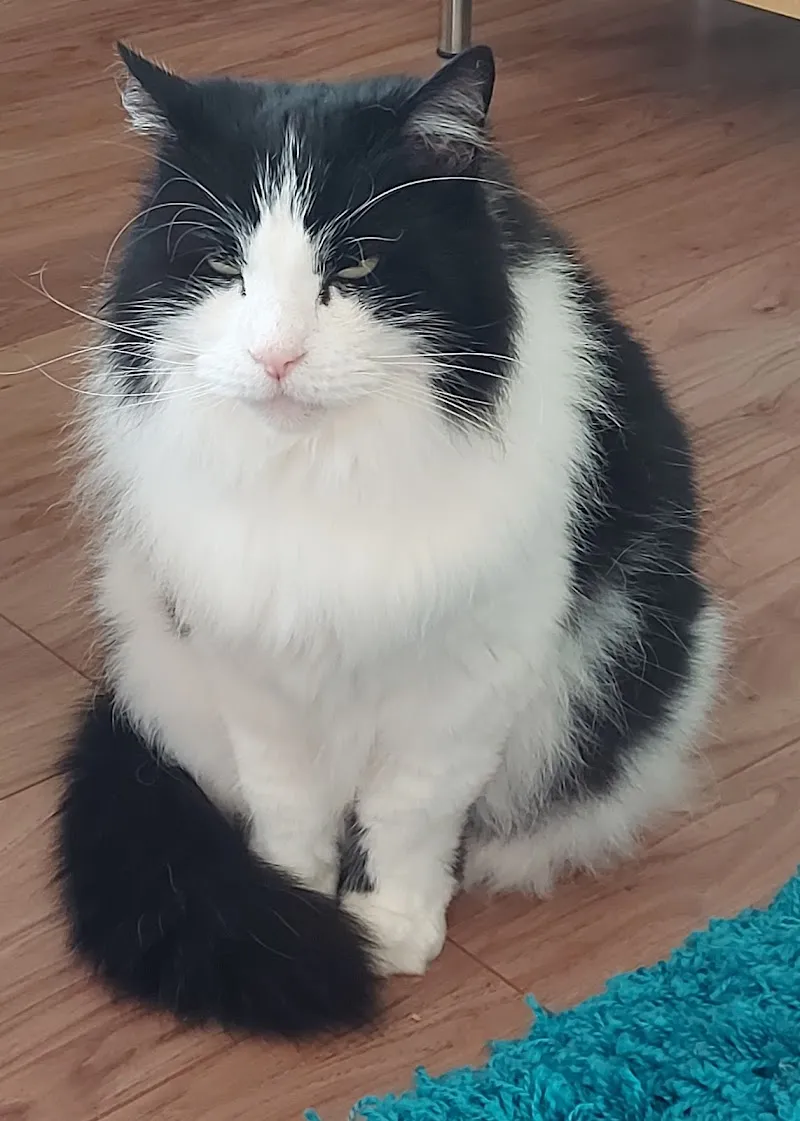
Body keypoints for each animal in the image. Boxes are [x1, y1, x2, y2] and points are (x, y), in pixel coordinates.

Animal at [57, 43, 723, 1038]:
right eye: (222, 264)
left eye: (361, 263)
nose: (277, 356)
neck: (320, 481)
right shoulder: (253, 670)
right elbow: (289, 809)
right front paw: (294, 909)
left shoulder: (465, 683)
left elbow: (409, 811)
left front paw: (390, 924)